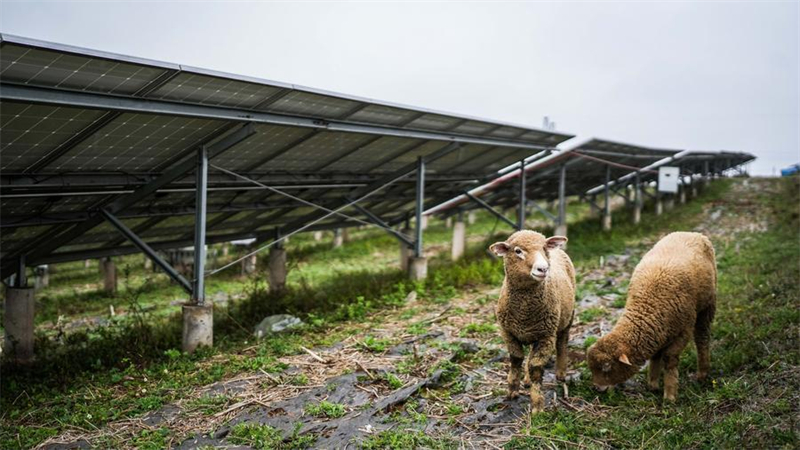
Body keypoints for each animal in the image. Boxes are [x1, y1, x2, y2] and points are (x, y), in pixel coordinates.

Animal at [490, 230, 576, 412]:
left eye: (544, 248)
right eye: (517, 251)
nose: (543, 268)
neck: (524, 312)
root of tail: (558, 250)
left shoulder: (546, 336)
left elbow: (536, 368)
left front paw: (537, 405)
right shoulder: (508, 332)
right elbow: (516, 359)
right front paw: (512, 391)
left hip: (568, 317)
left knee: (562, 342)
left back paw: (561, 374)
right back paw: (527, 380)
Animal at [586, 231, 717, 402]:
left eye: (607, 367)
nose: (596, 388)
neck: (648, 306)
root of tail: (691, 233)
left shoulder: (683, 331)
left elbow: (669, 359)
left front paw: (669, 396)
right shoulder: (658, 331)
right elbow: (655, 356)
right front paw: (653, 384)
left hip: (707, 305)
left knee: (702, 338)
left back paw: (702, 373)